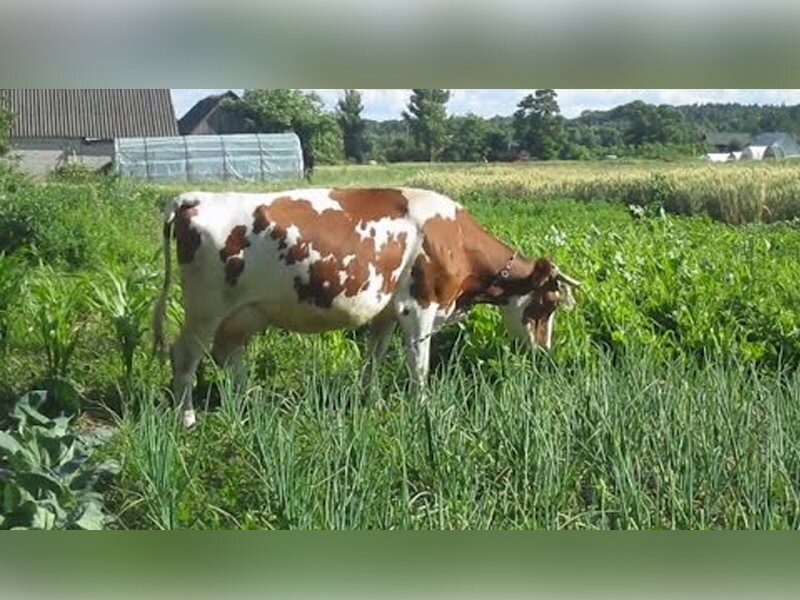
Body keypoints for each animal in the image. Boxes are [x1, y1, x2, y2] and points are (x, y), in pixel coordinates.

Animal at [152, 188, 581, 427]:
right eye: (549, 303)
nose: (544, 352)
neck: (454, 239)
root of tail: (194, 197)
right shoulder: (419, 307)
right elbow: (419, 364)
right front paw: (422, 407)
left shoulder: (387, 312)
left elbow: (374, 356)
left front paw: (371, 400)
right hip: (205, 309)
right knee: (185, 355)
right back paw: (186, 417)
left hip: (244, 312)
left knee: (229, 353)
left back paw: (248, 403)